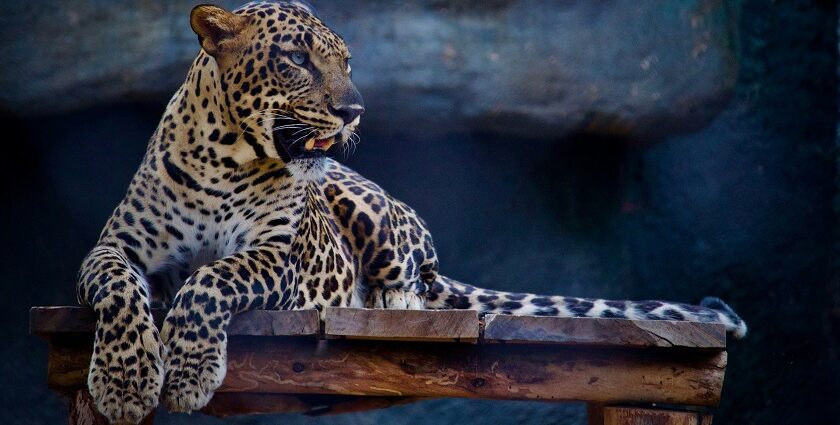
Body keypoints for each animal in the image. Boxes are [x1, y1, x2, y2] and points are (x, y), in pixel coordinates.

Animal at [77, 1, 748, 422]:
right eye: (296, 58)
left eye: (346, 62)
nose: (353, 109)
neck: (225, 156)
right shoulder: (116, 246)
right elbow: (118, 287)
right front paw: (124, 383)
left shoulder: (277, 256)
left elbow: (211, 279)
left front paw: (188, 375)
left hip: (372, 211)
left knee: (414, 283)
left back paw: (386, 303)